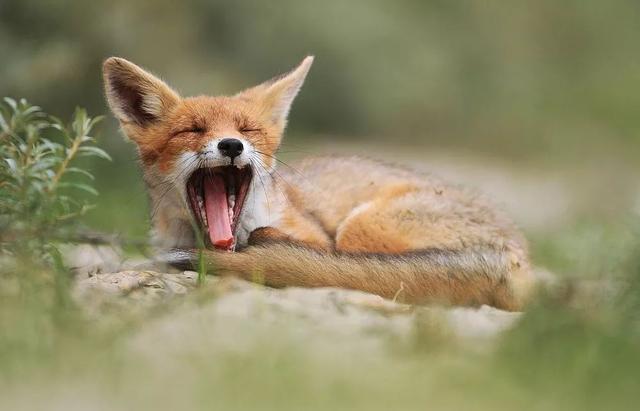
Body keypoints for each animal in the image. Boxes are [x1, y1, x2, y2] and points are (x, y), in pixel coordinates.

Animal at [104, 55, 536, 312]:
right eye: (192, 130)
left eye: (247, 130)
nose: (231, 145)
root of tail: (519, 255)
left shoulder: (314, 235)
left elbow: (310, 252)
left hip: (360, 227)